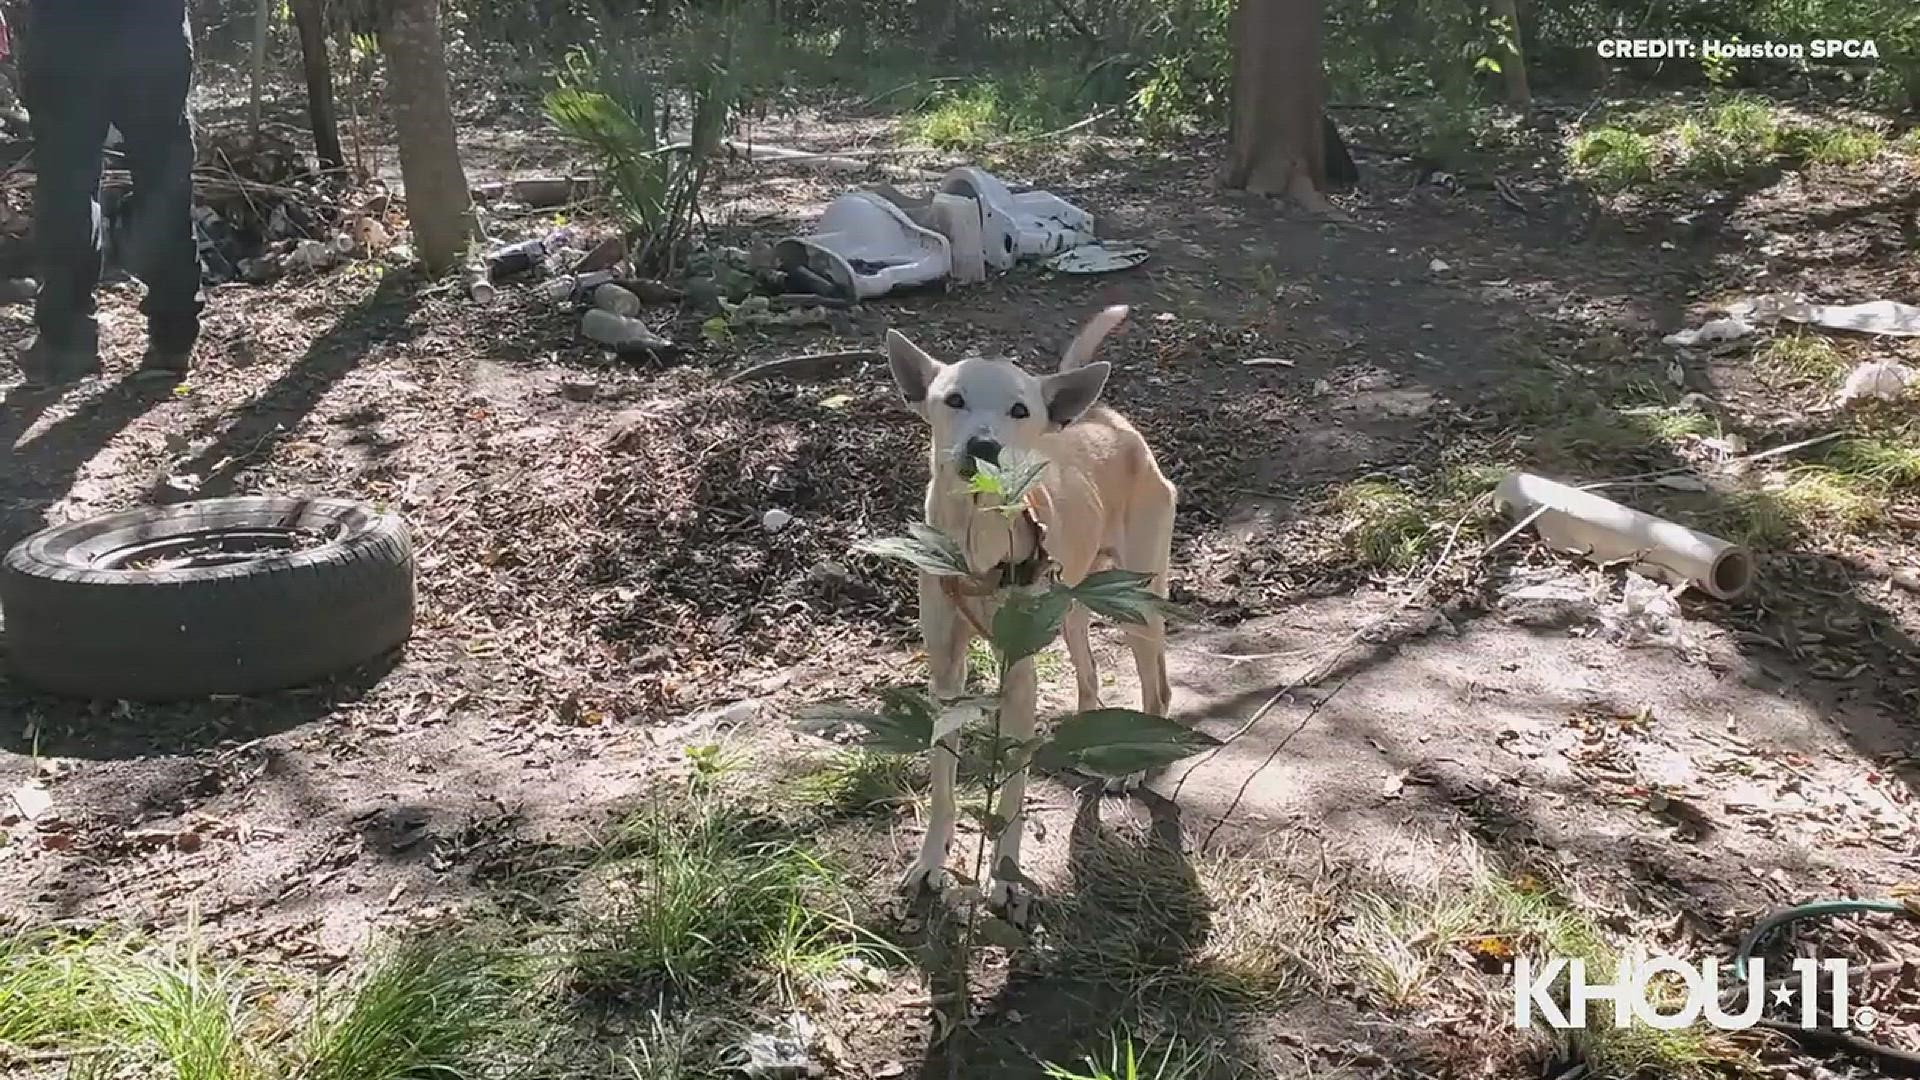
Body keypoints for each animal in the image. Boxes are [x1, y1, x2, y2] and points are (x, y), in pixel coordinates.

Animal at [879, 305, 1175, 914]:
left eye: (1019, 409)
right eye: (954, 399)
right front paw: (930, 863)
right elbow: (941, 778)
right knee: (1089, 671)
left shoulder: (1017, 676)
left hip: (1136, 605)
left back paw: (1134, 768)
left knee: (1157, 687)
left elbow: (1012, 786)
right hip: (1074, 605)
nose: (984, 446)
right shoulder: (946, 672)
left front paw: (1006, 878)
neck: (976, 541)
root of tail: (1105, 417)